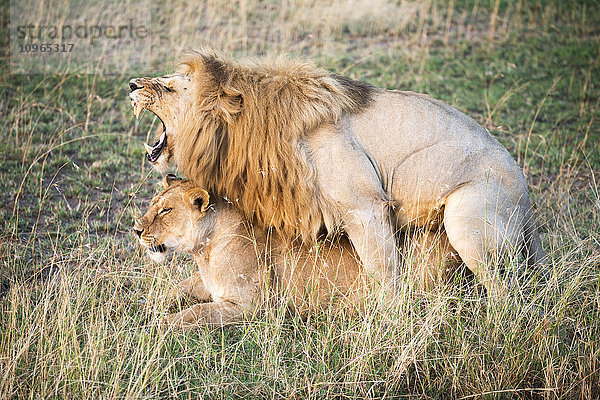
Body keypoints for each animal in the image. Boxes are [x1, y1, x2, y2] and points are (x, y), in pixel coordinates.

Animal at [129, 48, 548, 296]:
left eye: (170, 88)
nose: (131, 83)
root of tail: (526, 196)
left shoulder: (366, 207)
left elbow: (385, 274)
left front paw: (390, 323)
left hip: (469, 221)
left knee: (508, 295)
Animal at [134, 176, 372, 328]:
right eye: (153, 204)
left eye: (166, 210)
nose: (136, 230)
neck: (205, 252)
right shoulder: (209, 283)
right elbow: (179, 285)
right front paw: (148, 303)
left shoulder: (248, 306)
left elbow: (197, 311)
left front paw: (163, 323)